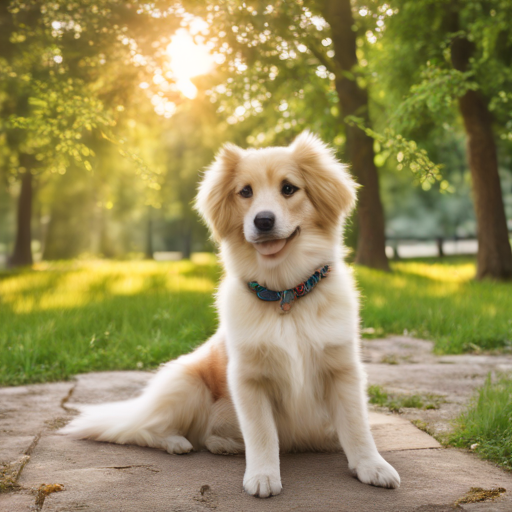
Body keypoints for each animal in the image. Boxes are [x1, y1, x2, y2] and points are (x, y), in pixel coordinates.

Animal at [62, 131, 400, 496]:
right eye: (245, 192)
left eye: (289, 188)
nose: (263, 221)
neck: (284, 294)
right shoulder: (248, 378)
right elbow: (262, 433)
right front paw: (263, 476)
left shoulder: (343, 370)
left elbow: (356, 426)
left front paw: (372, 466)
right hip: (186, 385)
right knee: (143, 430)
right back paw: (177, 443)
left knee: (206, 438)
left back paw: (225, 445)